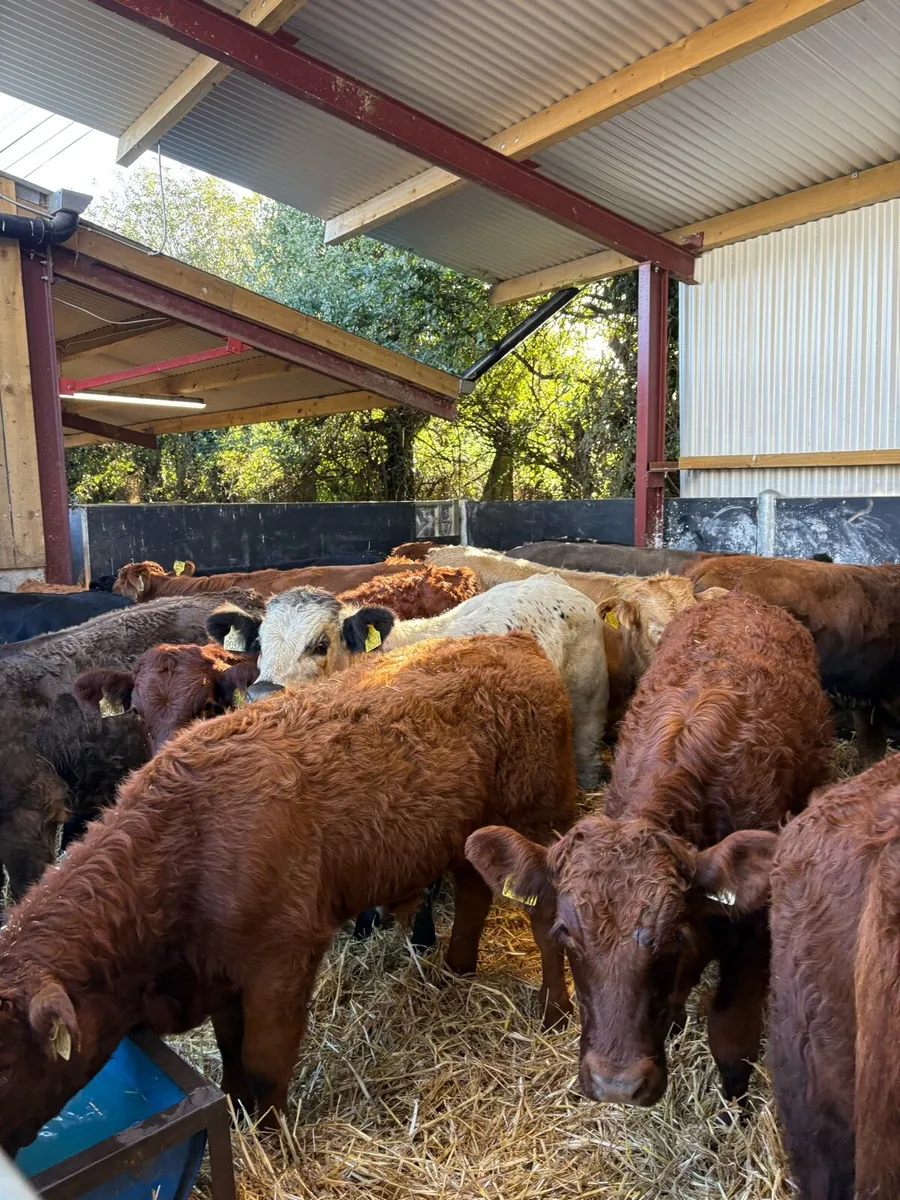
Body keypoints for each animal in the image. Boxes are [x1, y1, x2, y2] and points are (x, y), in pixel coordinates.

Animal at [0, 632, 577, 1154]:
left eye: (7, 1064)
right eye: (136, 714)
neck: (187, 837)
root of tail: (510, 639)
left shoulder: (282, 963)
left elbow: (263, 1064)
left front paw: (275, 1142)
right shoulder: (220, 972)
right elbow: (231, 1051)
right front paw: (235, 1114)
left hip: (539, 819)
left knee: (544, 922)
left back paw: (555, 1011)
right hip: (468, 836)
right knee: (473, 894)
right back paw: (458, 969)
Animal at [466, 593, 833, 1109]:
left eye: (673, 934)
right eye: (565, 932)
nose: (616, 1084)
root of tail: (733, 597)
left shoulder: (752, 935)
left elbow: (732, 1041)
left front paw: (733, 1111)